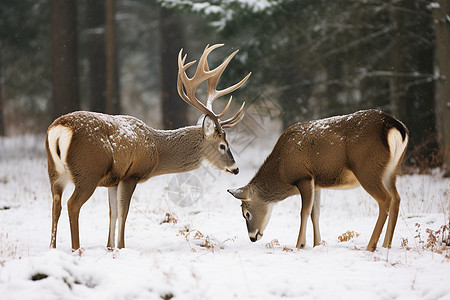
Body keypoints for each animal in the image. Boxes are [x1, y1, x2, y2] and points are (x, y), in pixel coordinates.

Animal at [47, 44, 251, 251]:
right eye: (223, 145)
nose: (235, 169)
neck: (156, 150)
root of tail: (60, 128)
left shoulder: (113, 179)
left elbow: (113, 213)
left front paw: (110, 247)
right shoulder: (131, 174)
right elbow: (124, 212)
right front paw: (121, 247)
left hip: (55, 172)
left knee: (56, 204)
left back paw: (52, 248)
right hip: (88, 171)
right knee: (72, 204)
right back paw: (76, 248)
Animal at [230, 109, 410, 251]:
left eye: (246, 213)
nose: (252, 237)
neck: (281, 169)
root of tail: (395, 125)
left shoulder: (303, 176)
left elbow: (304, 212)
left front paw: (300, 245)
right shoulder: (316, 184)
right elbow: (315, 213)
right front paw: (317, 244)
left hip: (368, 169)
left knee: (385, 199)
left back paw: (371, 246)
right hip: (391, 170)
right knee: (397, 198)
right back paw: (386, 245)